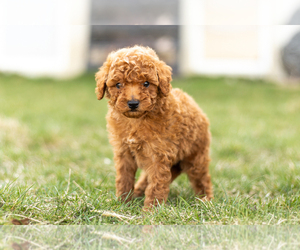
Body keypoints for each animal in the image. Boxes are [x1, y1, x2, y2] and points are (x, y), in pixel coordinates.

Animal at [95, 45, 212, 209]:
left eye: (146, 83)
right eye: (118, 85)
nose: (133, 103)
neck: (136, 120)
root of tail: (193, 102)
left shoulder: (159, 154)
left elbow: (157, 183)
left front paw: (151, 210)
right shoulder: (124, 152)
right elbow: (124, 179)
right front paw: (122, 202)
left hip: (196, 155)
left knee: (202, 178)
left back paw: (206, 200)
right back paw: (138, 192)